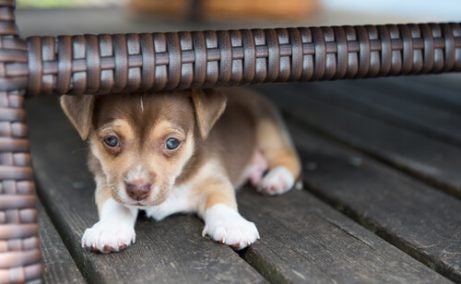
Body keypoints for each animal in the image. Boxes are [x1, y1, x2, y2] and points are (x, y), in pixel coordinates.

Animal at [59, 89, 300, 253]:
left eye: (172, 143)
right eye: (111, 140)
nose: (138, 190)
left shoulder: (214, 178)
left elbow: (221, 200)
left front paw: (232, 224)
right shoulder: (106, 181)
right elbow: (116, 204)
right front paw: (108, 230)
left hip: (268, 130)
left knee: (290, 159)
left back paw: (275, 180)